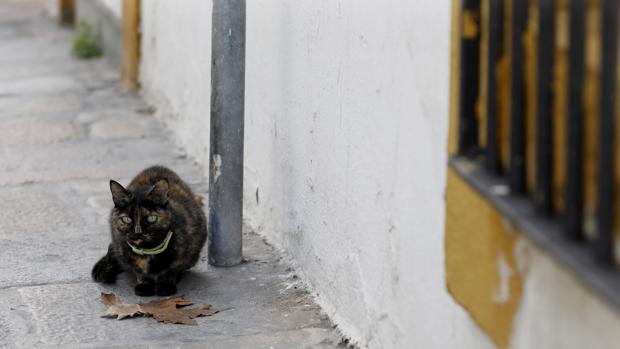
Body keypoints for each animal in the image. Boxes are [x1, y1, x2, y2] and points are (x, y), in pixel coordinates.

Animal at [92, 164, 207, 294]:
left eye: (151, 218)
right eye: (127, 219)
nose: (138, 232)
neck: (147, 252)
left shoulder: (185, 250)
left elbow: (171, 270)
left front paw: (166, 285)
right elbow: (139, 272)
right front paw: (145, 285)